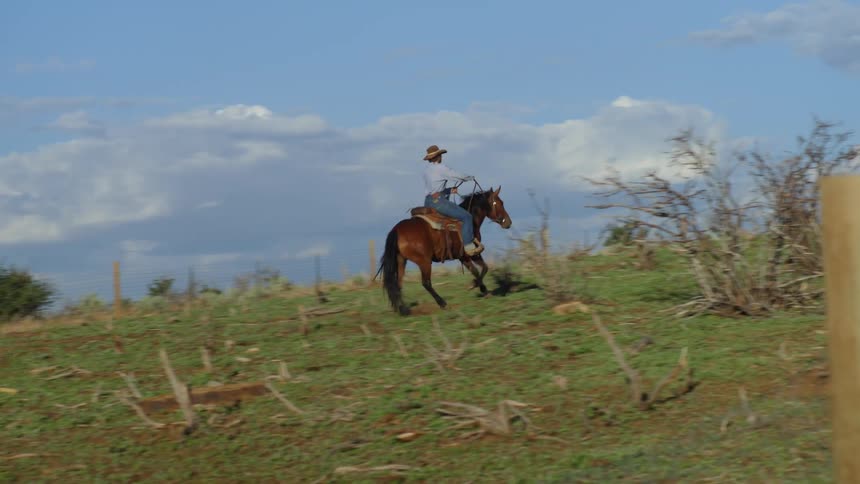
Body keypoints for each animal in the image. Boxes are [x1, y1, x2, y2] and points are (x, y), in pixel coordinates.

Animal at [377, 185, 512, 315]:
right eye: (499, 203)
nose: (508, 223)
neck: (471, 220)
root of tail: (397, 229)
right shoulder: (471, 254)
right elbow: (483, 269)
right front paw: (474, 285)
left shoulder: (463, 257)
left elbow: (477, 270)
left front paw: (483, 290)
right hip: (424, 262)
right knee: (426, 283)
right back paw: (442, 303)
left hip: (401, 260)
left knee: (398, 284)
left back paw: (403, 309)